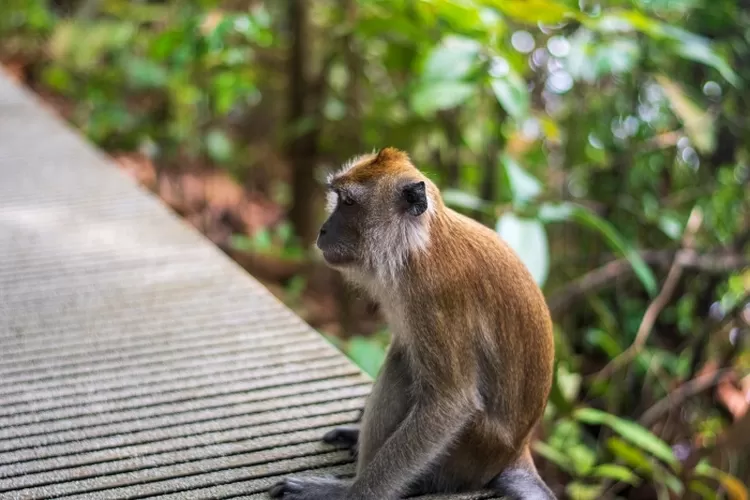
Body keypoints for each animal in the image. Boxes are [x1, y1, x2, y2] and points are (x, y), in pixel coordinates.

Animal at [270, 148, 560, 500]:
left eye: (349, 203)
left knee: (404, 371)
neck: (417, 248)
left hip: (470, 451)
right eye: (338, 199)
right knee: (401, 359)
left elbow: (449, 403)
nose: (323, 230)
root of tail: (515, 454)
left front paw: (349, 494)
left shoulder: (437, 295)